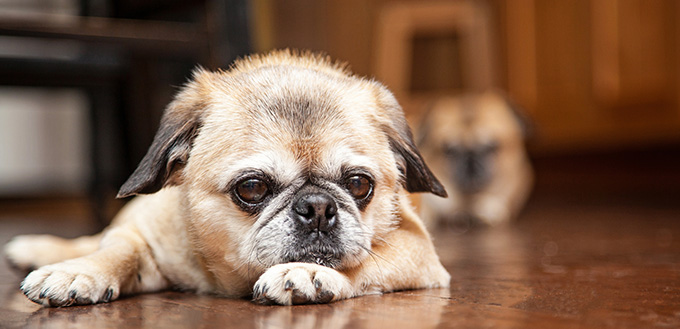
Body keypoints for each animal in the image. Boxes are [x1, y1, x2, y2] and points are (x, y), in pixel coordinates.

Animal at [5, 50, 454, 306]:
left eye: (359, 185)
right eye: (252, 188)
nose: (318, 207)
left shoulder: (417, 250)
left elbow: (364, 264)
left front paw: (311, 273)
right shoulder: (139, 235)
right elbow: (117, 251)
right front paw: (79, 272)